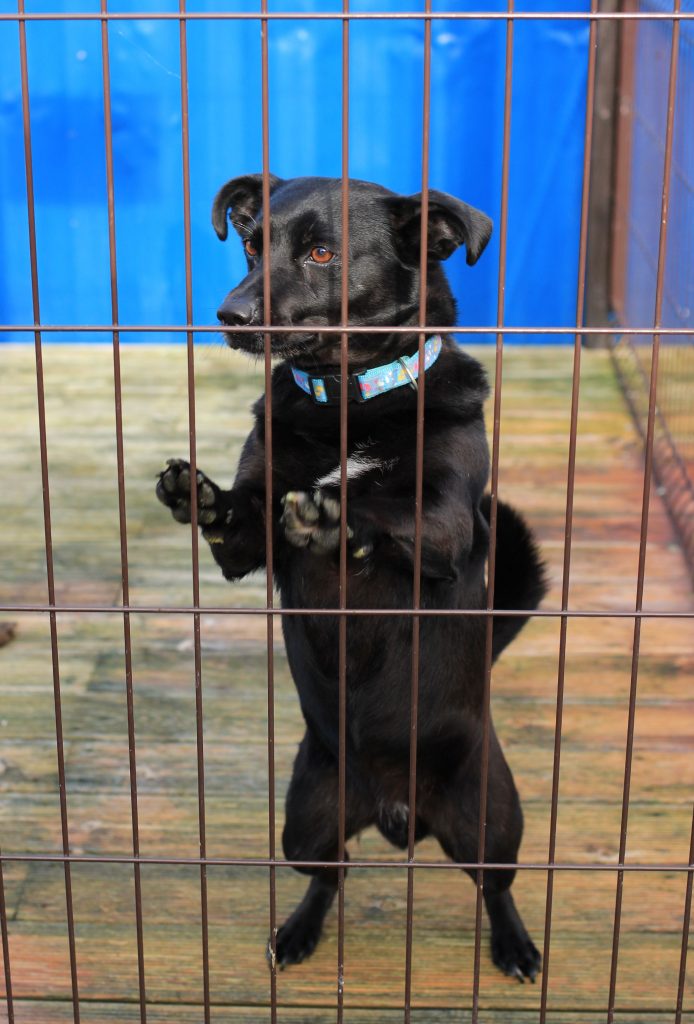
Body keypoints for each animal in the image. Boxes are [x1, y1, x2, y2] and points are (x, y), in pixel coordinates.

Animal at [156, 174, 547, 981]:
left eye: (322, 254)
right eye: (252, 244)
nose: (229, 315)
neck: (349, 397)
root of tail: (397, 813)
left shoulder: (449, 524)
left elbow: (391, 512)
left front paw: (336, 513)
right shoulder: (246, 548)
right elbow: (240, 517)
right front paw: (201, 494)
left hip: (493, 817)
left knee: (496, 885)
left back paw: (516, 946)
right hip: (305, 819)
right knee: (329, 874)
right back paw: (298, 930)